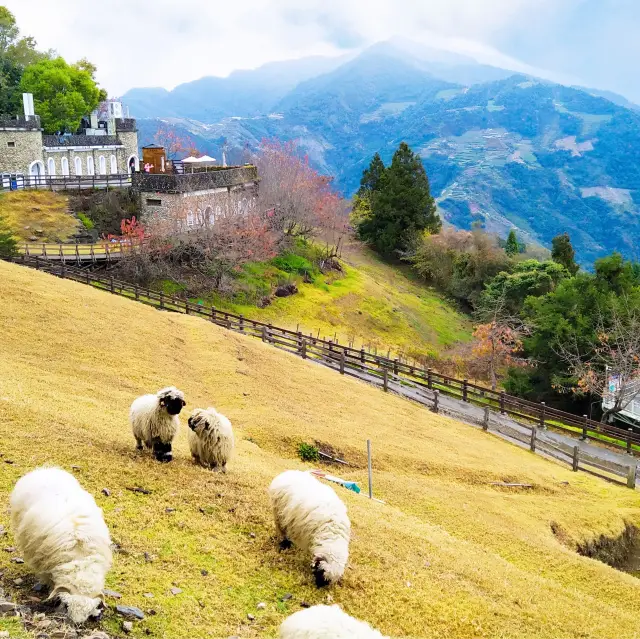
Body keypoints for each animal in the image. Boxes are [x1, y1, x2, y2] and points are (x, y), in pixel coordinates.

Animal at [9, 464, 112, 624]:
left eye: (88, 610)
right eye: (67, 605)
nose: (76, 623)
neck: (80, 559)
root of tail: (45, 469)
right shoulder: (44, 565)